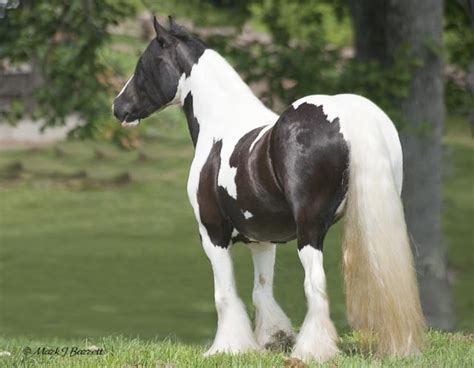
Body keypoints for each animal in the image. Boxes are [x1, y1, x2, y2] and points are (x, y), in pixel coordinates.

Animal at [112, 17, 426, 362]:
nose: (118, 107)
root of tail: (347, 115)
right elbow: (262, 290)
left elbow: (225, 294)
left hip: (310, 231)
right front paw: (272, 340)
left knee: (315, 285)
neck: (221, 125)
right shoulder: (262, 239)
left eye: (143, 64)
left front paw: (227, 348)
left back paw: (311, 351)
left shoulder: (212, 234)